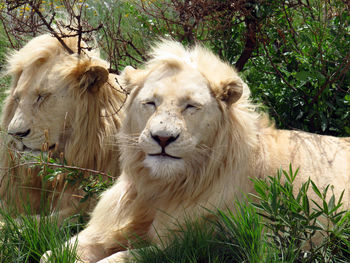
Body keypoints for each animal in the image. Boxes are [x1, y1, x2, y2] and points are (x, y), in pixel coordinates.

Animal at [42, 40, 348, 262]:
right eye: (151, 103)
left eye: (191, 106)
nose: (163, 138)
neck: (159, 187)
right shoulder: (110, 226)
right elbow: (52, 253)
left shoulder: (193, 244)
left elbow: (119, 259)